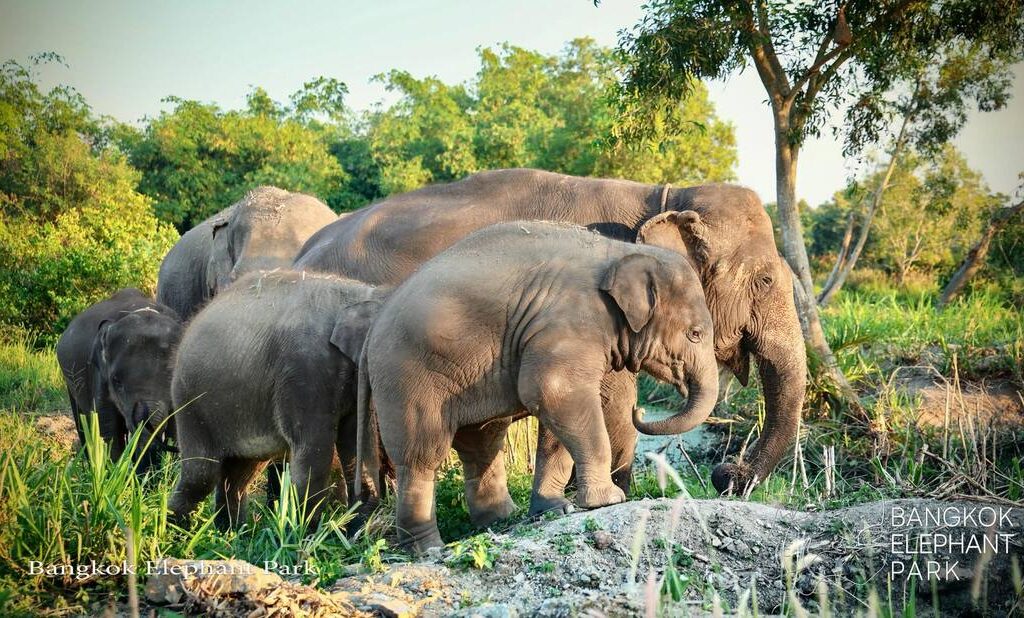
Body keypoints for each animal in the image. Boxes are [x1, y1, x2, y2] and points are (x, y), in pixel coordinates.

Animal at [168, 270, 385, 530]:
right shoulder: (305, 371)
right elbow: (314, 450)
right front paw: (307, 532)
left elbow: (356, 440)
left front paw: (351, 530)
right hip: (191, 401)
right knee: (201, 474)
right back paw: (176, 531)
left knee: (239, 473)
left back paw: (232, 534)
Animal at [355, 221, 719, 552]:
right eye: (695, 334)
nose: (639, 410)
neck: (620, 252)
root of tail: (370, 334)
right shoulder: (571, 324)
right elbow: (552, 392)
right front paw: (608, 500)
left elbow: (559, 417)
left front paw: (556, 509)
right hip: (407, 378)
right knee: (423, 455)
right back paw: (428, 548)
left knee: (482, 443)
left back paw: (503, 519)